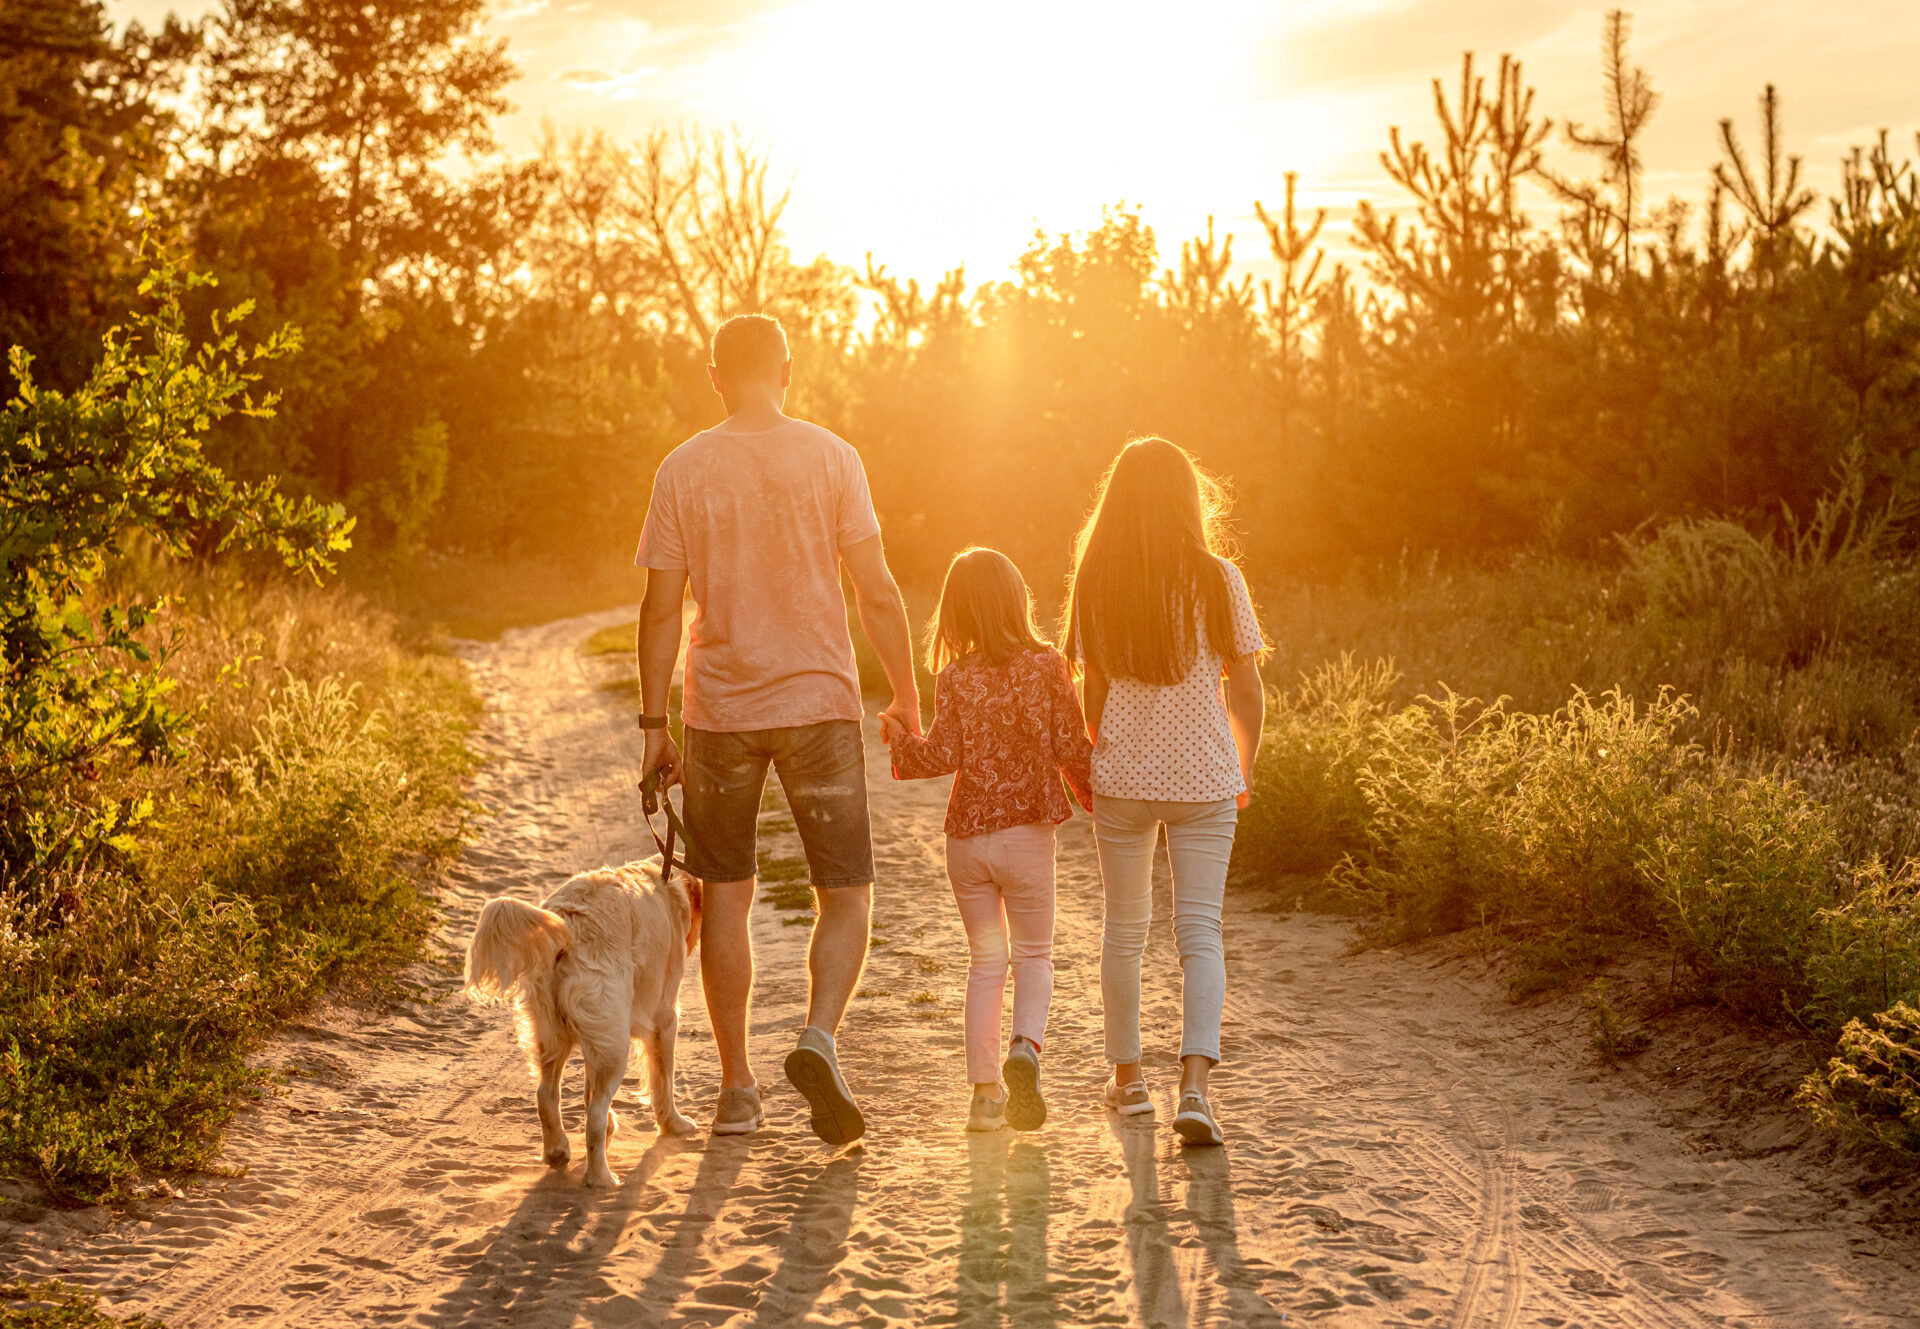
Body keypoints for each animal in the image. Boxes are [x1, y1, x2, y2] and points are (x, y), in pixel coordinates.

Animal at [464, 856, 706, 1190]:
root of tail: (569, 923)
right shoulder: (665, 1016)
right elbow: (663, 1079)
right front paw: (674, 1123)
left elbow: (588, 1089)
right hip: (614, 1043)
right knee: (594, 1115)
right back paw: (601, 1177)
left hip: (556, 1034)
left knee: (546, 1096)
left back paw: (557, 1151)